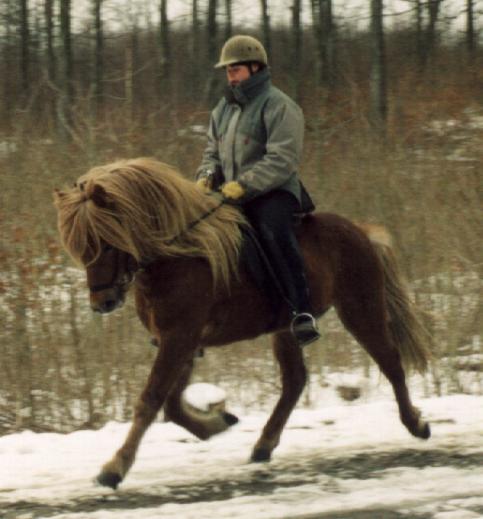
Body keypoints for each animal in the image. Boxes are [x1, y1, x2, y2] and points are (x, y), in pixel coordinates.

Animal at [54, 156, 434, 490]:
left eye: (105, 243)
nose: (102, 304)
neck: (177, 256)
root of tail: (360, 231)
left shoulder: (180, 337)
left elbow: (151, 400)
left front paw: (113, 469)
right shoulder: (180, 340)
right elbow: (172, 404)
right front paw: (217, 423)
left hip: (359, 309)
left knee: (390, 361)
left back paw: (416, 425)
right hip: (286, 329)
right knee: (295, 381)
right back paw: (263, 446)